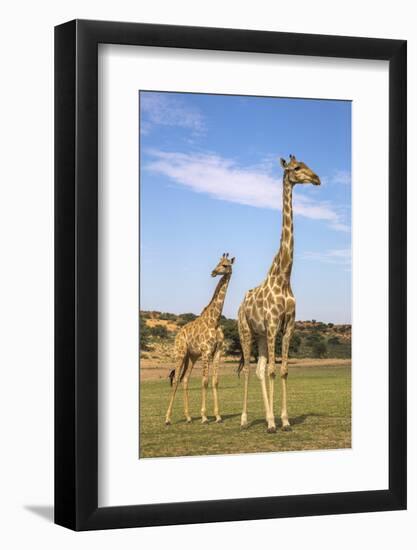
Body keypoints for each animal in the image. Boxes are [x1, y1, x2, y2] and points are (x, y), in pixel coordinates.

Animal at [163, 254, 234, 426]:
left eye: (225, 265)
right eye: (218, 263)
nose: (213, 272)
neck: (215, 321)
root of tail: (178, 334)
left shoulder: (217, 352)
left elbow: (215, 381)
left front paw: (218, 416)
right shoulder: (206, 351)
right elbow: (205, 381)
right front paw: (204, 417)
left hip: (192, 357)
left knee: (185, 379)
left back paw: (188, 417)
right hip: (181, 353)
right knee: (176, 380)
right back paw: (167, 419)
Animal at [236, 155, 320, 436]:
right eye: (296, 168)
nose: (317, 178)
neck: (284, 277)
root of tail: (239, 306)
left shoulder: (288, 326)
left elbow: (281, 371)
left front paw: (283, 420)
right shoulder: (273, 325)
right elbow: (274, 370)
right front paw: (273, 422)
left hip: (261, 336)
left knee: (260, 370)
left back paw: (266, 416)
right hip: (246, 331)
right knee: (250, 369)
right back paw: (245, 419)